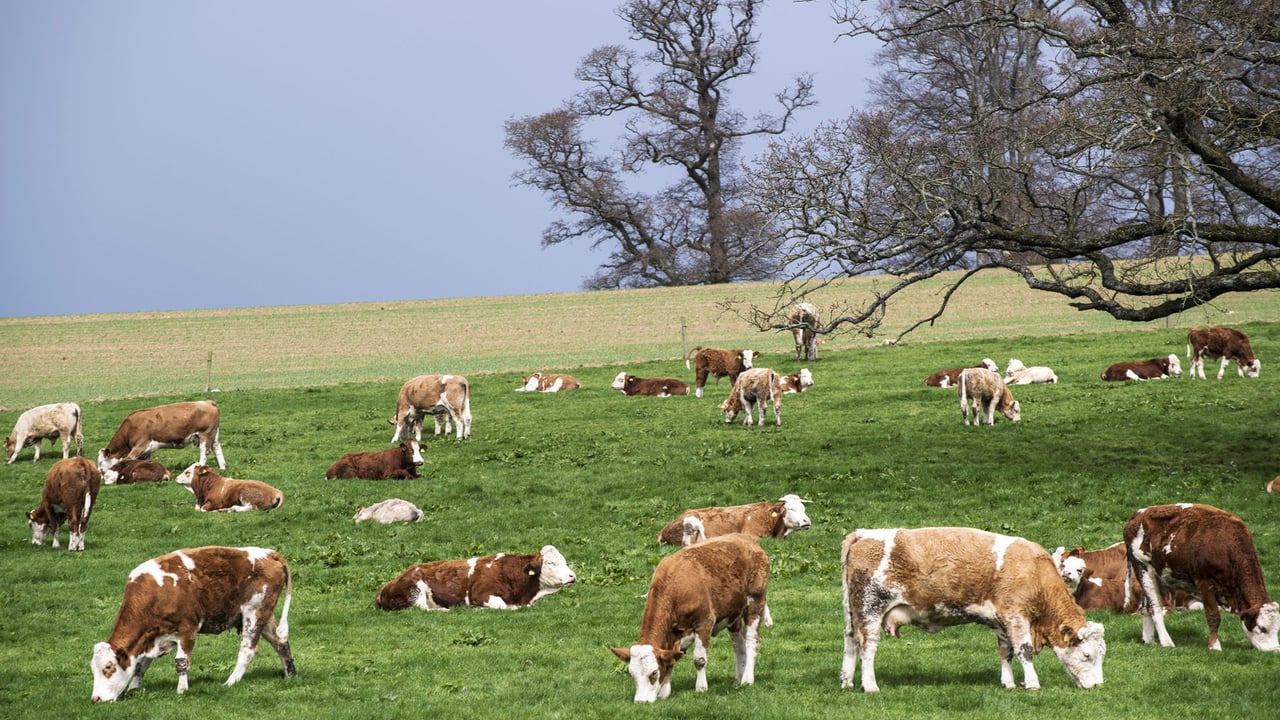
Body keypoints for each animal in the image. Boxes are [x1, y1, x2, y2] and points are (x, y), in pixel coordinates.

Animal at [90, 546, 295, 702]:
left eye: (108, 668)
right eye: (93, 669)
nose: (96, 699)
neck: (155, 593)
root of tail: (269, 553)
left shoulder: (187, 629)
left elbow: (181, 662)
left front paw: (181, 690)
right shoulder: (152, 637)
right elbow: (141, 664)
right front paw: (134, 688)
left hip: (253, 612)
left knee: (248, 650)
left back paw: (230, 682)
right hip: (265, 615)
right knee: (280, 641)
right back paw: (290, 674)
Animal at [375, 545, 576, 611]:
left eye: (564, 561)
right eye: (551, 563)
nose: (572, 576)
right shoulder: (483, 595)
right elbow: (504, 607)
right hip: (415, 590)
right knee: (422, 609)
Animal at [611, 534, 771, 703]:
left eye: (653, 673)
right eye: (632, 674)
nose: (641, 701)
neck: (676, 586)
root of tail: (746, 539)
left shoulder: (704, 623)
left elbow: (699, 659)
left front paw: (701, 688)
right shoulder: (676, 635)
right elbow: (671, 660)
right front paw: (664, 692)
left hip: (755, 602)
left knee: (752, 641)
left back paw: (747, 679)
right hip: (733, 614)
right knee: (739, 645)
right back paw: (738, 678)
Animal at [840, 527, 1106, 692]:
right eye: (1087, 655)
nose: (1098, 686)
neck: (1034, 571)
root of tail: (864, 534)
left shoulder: (1001, 620)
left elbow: (1005, 651)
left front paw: (1008, 683)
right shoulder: (1016, 616)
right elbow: (1024, 650)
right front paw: (1031, 683)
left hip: (855, 614)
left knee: (851, 640)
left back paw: (847, 681)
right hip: (871, 609)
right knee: (867, 646)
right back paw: (870, 685)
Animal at [1123, 503, 1280, 651]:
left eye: (1277, 629)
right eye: (1262, 628)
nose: (1275, 650)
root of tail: (1138, 514)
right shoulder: (1204, 581)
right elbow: (1213, 616)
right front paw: (1214, 646)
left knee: (1146, 607)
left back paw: (1149, 640)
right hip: (1143, 567)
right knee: (1155, 608)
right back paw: (1166, 642)